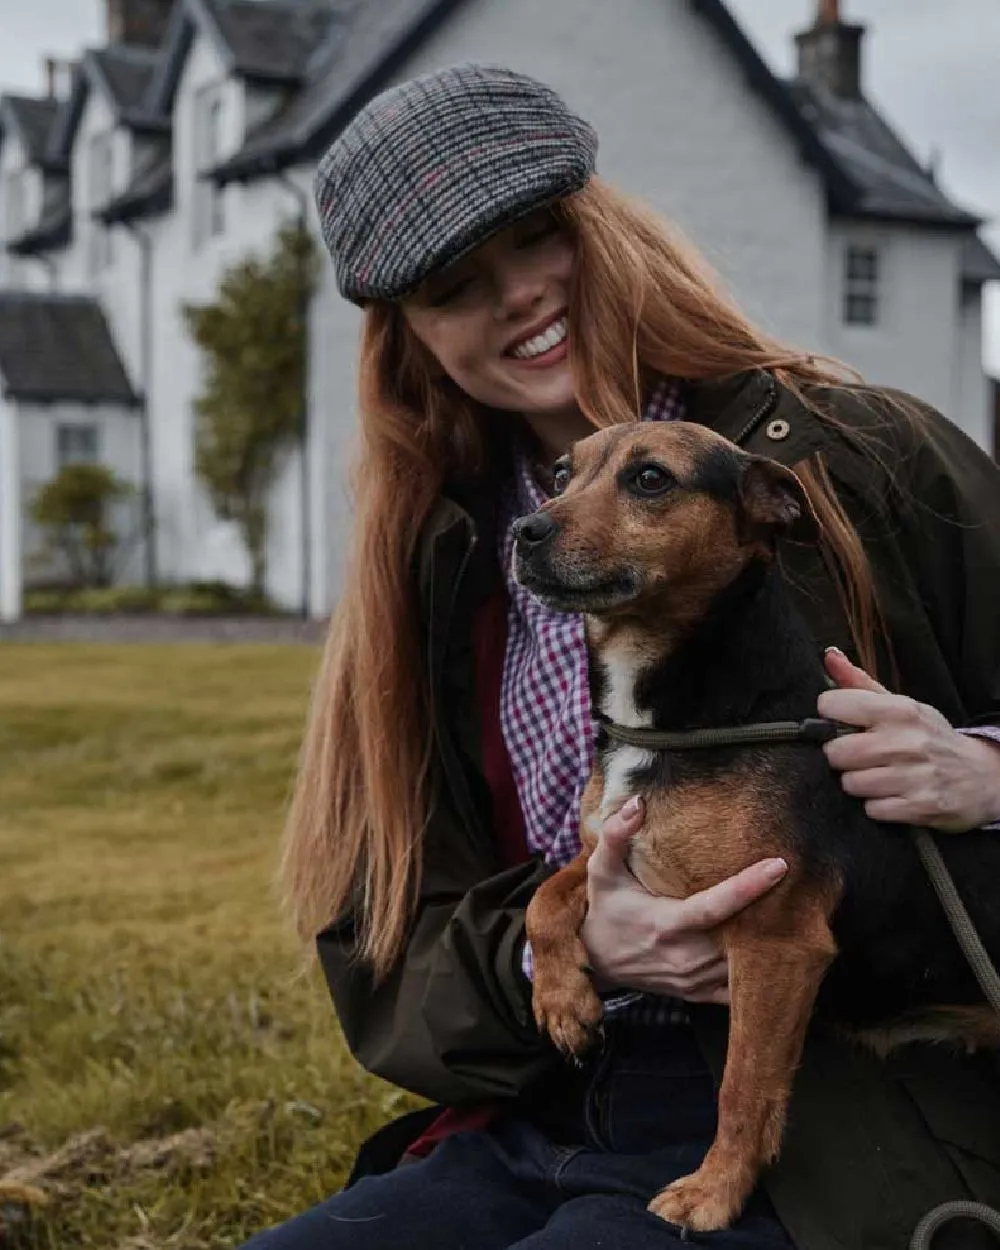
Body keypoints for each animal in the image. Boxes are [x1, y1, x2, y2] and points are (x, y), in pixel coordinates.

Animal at [512, 420, 1000, 1230]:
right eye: (559, 473)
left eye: (650, 478)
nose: (523, 531)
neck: (681, 719)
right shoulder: (610, 843)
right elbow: (544, 899)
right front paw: (563, 1003)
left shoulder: (777, 942)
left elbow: (743, 1088)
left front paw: (713, 1193)